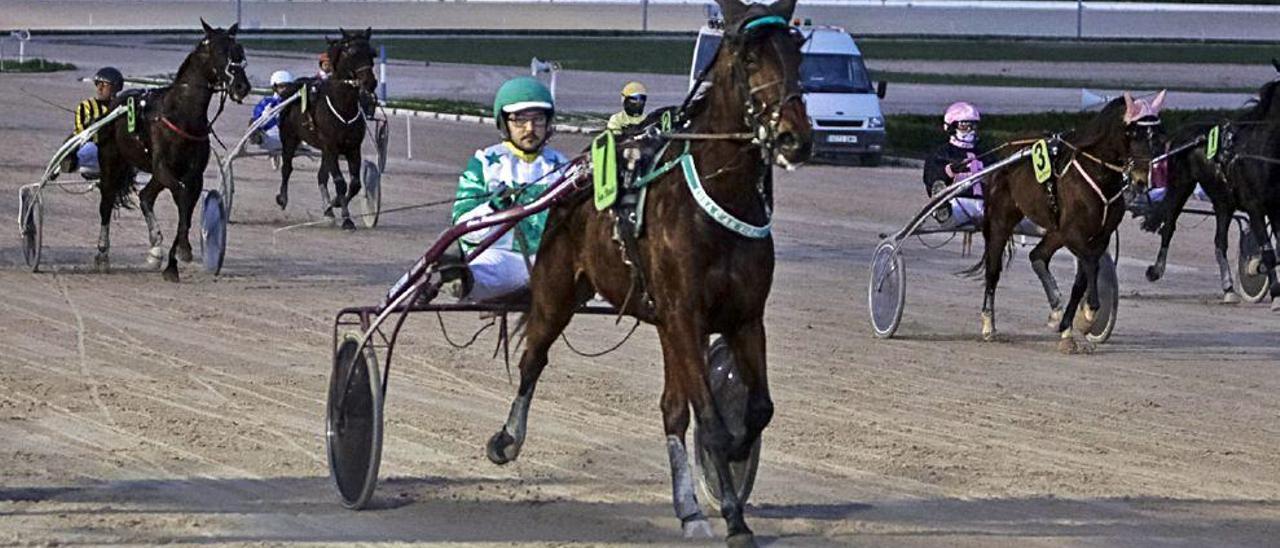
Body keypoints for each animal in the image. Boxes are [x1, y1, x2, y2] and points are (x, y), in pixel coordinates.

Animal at [96, 19, 250, 280]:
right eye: (220, 52)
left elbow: (187, 206)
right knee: (106, 202)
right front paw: (179, 255)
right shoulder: (164, 168)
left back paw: (155, 249)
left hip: (155, 174)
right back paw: (102, 255)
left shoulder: (193, 174)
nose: (242, 86)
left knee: (145, 196)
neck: (182, 114)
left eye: (240, 51)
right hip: (111, 162)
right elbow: (181, 196)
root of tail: (114, 104)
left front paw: (177, 255)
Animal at [277, 28, 376, 229]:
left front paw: (335, 203)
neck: (344, 108)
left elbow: (355, 184)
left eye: (372, 53)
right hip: (289, 138)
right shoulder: (331, 146)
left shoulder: (352, 148)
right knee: (287, 167)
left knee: (321, 176)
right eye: (352, 53)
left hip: (324, 150)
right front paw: (346, 219)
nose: (370, 82)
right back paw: (283, 198)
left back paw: (329, 210)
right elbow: (340, 182)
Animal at [481, 2, 808, 545]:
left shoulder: (742, 317)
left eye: (798, 55)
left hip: (665, 326)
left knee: (672, 409)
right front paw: (735, 516)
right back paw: (507, 439)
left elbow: (758, 408)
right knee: (533, 360)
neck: (718, 199)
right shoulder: (685, 315)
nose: (794, 138)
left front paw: (734, 462)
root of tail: (574, 178)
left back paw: (689, 508)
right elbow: (710, 421)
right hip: (557, 291)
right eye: (748, 57)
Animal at [972, 92, 1167, 353]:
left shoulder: (1099, 235)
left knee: (1038, 256)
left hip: (1055, 230)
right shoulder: (1075, 233)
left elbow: (1081, 280)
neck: (1098, 175)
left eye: (1158, 136)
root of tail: (1009, 149)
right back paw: (988, 325)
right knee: (993, 270)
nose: (1140, 180)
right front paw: (1089, 314)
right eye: (1132, 134)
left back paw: (1055, 310)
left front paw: (1068, 328)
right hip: (1001, 220)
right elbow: (1091, 266)